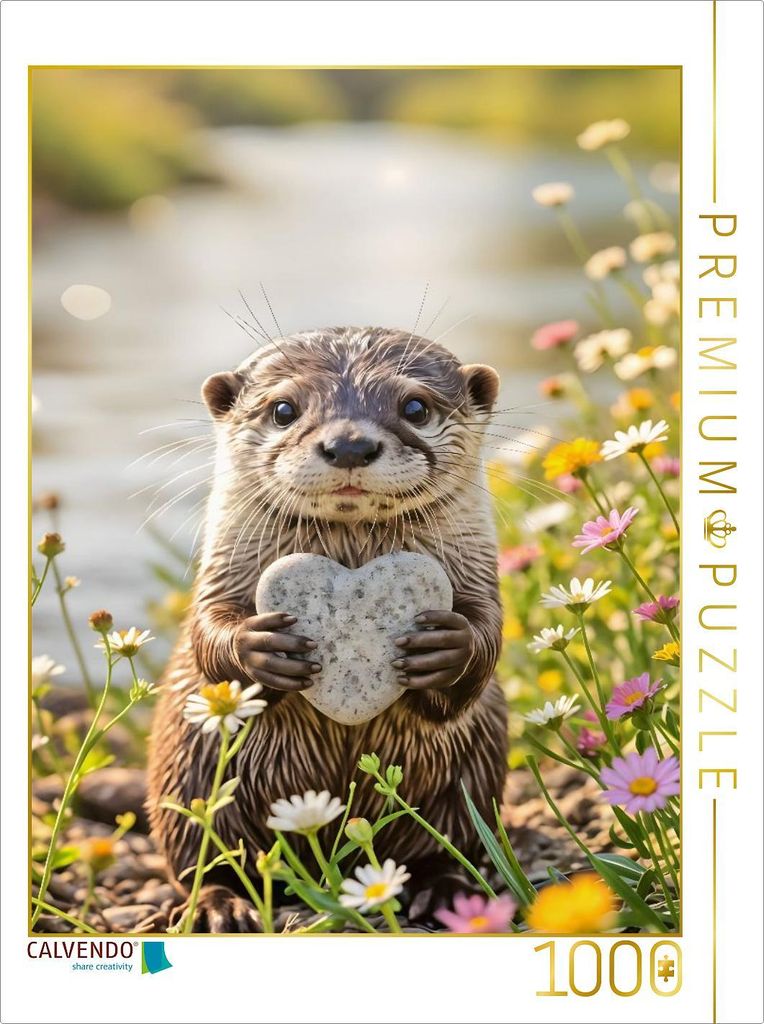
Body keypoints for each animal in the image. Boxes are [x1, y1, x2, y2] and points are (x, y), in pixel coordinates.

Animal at [147, 326, 508, 931]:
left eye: (415, 406)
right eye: (284, 409)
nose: (349, 445)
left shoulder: (480, 576)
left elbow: (489, 637)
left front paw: (446, 648)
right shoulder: (219, 574)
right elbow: (207, 633)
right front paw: (260, 648)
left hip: (471, 778)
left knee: (447, 843)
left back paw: (444, 890)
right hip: (188, 775)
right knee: (204, 858)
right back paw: (225, 906)